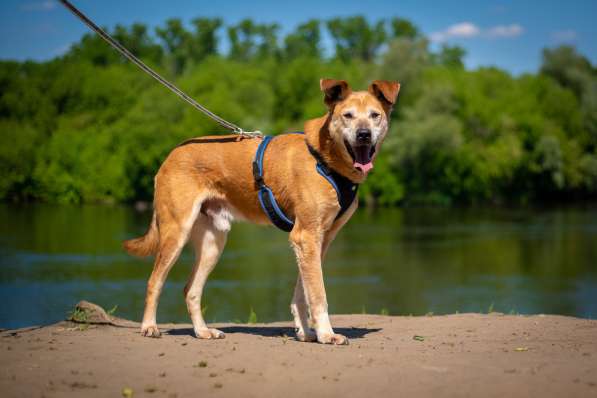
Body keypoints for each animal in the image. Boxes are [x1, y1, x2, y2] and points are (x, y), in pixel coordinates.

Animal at [123, 78, 398, 346]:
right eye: (348, 115)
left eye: (374, 115)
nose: (364, 135)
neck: (326, 158)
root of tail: (171, 154)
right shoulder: (306, 236)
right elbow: (318, 293)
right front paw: (326, 334)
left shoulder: (320, 240)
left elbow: (302, 292)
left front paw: (305, 332)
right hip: (176, 232)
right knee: (154, 281)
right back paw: (149, 327)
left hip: (213, 242)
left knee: (191, 289)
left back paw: (202, 332)